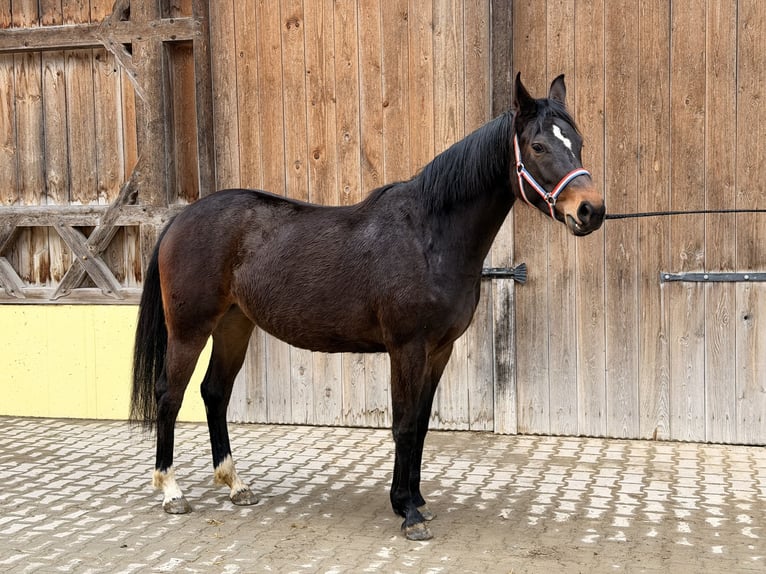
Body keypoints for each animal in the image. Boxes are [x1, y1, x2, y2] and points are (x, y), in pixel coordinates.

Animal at [130, 73, 605, 541]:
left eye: (579, 141)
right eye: (538, 146)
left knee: (215, 392)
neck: (429, 235)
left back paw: (236, 485)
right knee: (170, 394)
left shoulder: (439, 351)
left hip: (234, 324)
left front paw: (417, 500)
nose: (591, 211)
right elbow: (404, 425)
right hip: (189, 329)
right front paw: (407, 512)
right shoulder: (406, 348)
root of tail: (182, 217)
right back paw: (171, 491)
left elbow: (422, 423)